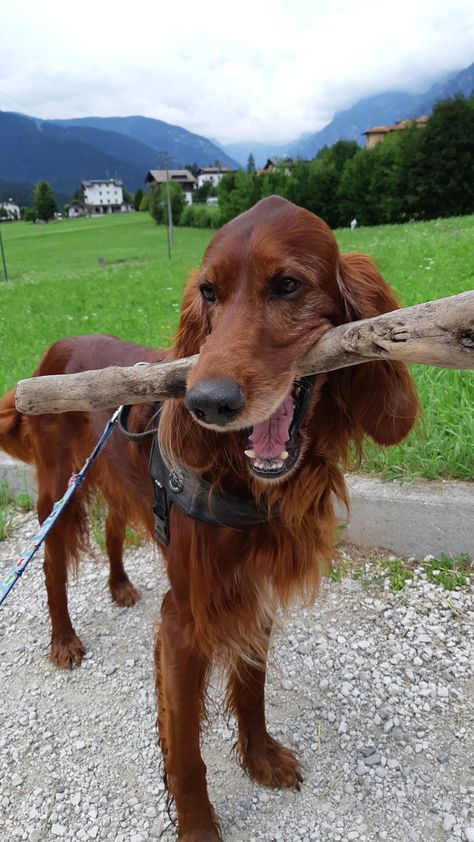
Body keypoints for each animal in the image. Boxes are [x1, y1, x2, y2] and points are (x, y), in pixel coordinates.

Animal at [0, 199, 418, 840]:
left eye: (288, 284)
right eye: (209, 293)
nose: (206, 403)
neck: (244, 479)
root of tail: (53, 348)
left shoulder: (252, 595)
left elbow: (251, 690)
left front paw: (260, 757)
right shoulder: (185, 619)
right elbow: (186, 750)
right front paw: (198, 824)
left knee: (114, 527)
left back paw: (120, 586)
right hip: (58, 490)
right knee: (50, 567)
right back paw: (64, 640)